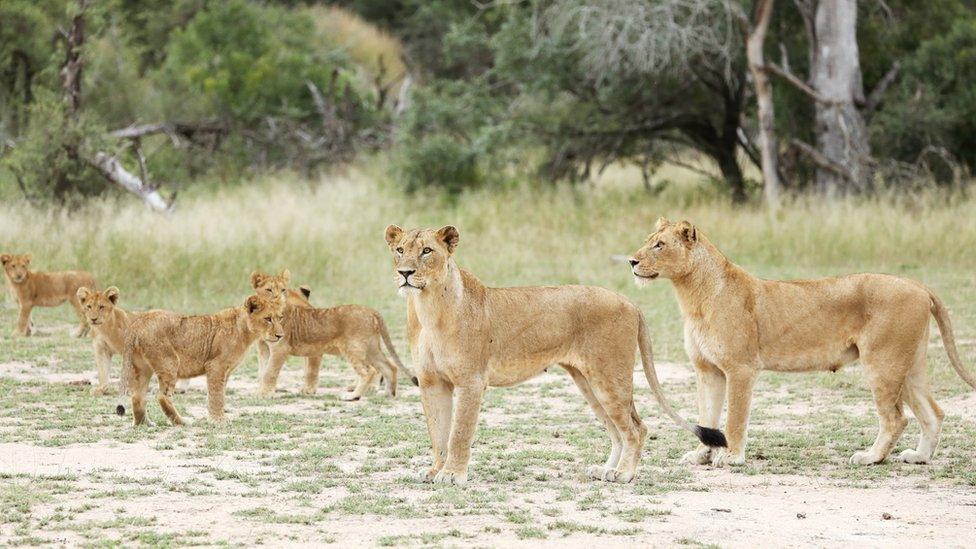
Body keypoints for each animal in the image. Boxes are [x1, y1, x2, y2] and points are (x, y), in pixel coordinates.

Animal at [120, 294, 284, 426]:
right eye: (268, 319)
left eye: (280, 318)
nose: (280, 336)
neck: (245, 331)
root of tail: (137, 324)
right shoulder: (216, 366)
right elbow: (217, 395)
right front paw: (219, 420)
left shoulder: (225, 372)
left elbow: (217, 393)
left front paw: (215, 416)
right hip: (169, 362)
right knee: (162, 396)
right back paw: (182, 422)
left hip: (142, 368)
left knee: (137, 397)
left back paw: (143, 423)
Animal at [384, 224, 724, 484]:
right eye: (400, 249)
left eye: (427, 251)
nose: (404, 272)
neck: (427, 308)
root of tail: (630, 302)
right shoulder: (432, 383)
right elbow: (438, 434)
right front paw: (435, 471)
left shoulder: (471, 381)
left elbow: (458, 433)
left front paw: (453, 475)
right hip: (587, 381)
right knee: (617, 430)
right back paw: (606, 470)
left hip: (609, 377)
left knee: (636, 428)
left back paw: (623, 474)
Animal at [628, 218, 972, 466]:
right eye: (647, 241)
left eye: (659, 245)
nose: (631, 261)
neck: (692, 296)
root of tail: (917, 284)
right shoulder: (707, 370)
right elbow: (707, 416)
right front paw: (702, 455)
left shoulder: (741, 368)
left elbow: (735, 417)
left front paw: (732, 457)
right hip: (909, 365)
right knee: (933, 413)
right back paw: (919, 457)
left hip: (883, 363)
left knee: (896, 418)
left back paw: (870, 457)